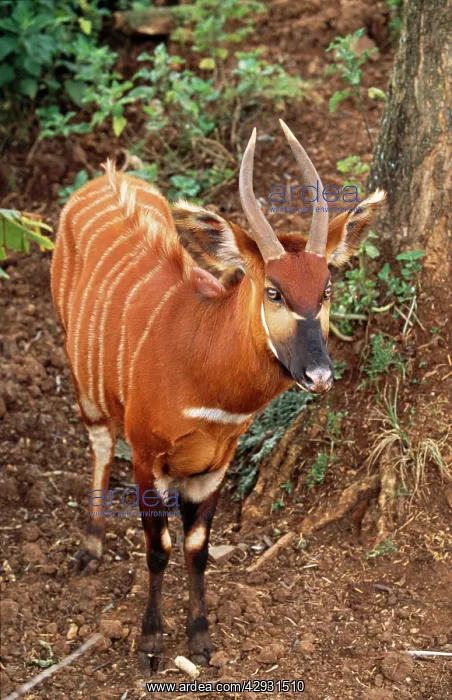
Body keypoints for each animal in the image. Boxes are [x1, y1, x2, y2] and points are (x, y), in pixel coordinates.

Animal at [51, 120, 385, 670]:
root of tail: (105, 174)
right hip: (82, 377)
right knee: (99, 442)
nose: (319, 375)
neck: (202, 370)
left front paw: (201, 639)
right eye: (274, 291)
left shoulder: (214, 465)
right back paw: (90, 547)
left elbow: (197, 547)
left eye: (327, 290)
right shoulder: (147, 457)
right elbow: (159, 546)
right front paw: (150, 643)